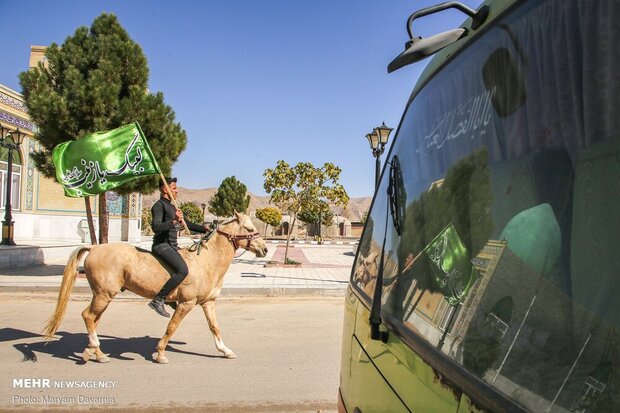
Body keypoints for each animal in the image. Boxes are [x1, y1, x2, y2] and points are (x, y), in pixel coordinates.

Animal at [42, 211, 266, 362]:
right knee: (87, 316)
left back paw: (96, 353)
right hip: (103, 295)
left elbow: (214, 327)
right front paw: (160, 353)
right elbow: (172, 327)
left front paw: (226, 351)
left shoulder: (207, 302)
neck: (206, 260)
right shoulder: (186, 303)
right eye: (249, 229)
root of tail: (94, 247)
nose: (264, 249)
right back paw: (95, 348)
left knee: (93, 320)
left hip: (103, 296)